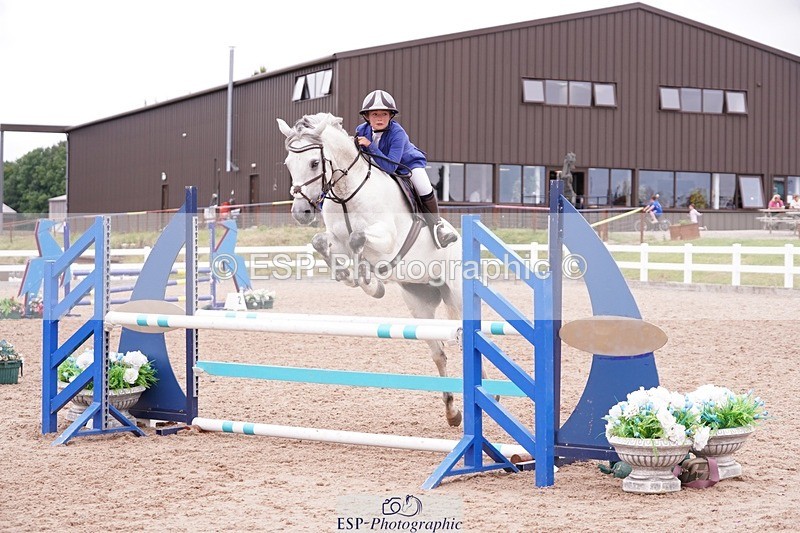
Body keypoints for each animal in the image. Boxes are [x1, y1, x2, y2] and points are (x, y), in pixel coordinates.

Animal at [277, 112, 464, 427]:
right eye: (289, 164)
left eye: (314, 163)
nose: (300, 213)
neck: (346, 193)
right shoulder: (335, 239)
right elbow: (324, 243)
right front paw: (353, 277)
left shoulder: (387, 239)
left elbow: (358, 239)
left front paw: (368, 280)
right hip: (419, 302)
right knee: (440, 353)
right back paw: (453, 412)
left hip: (458, 294)